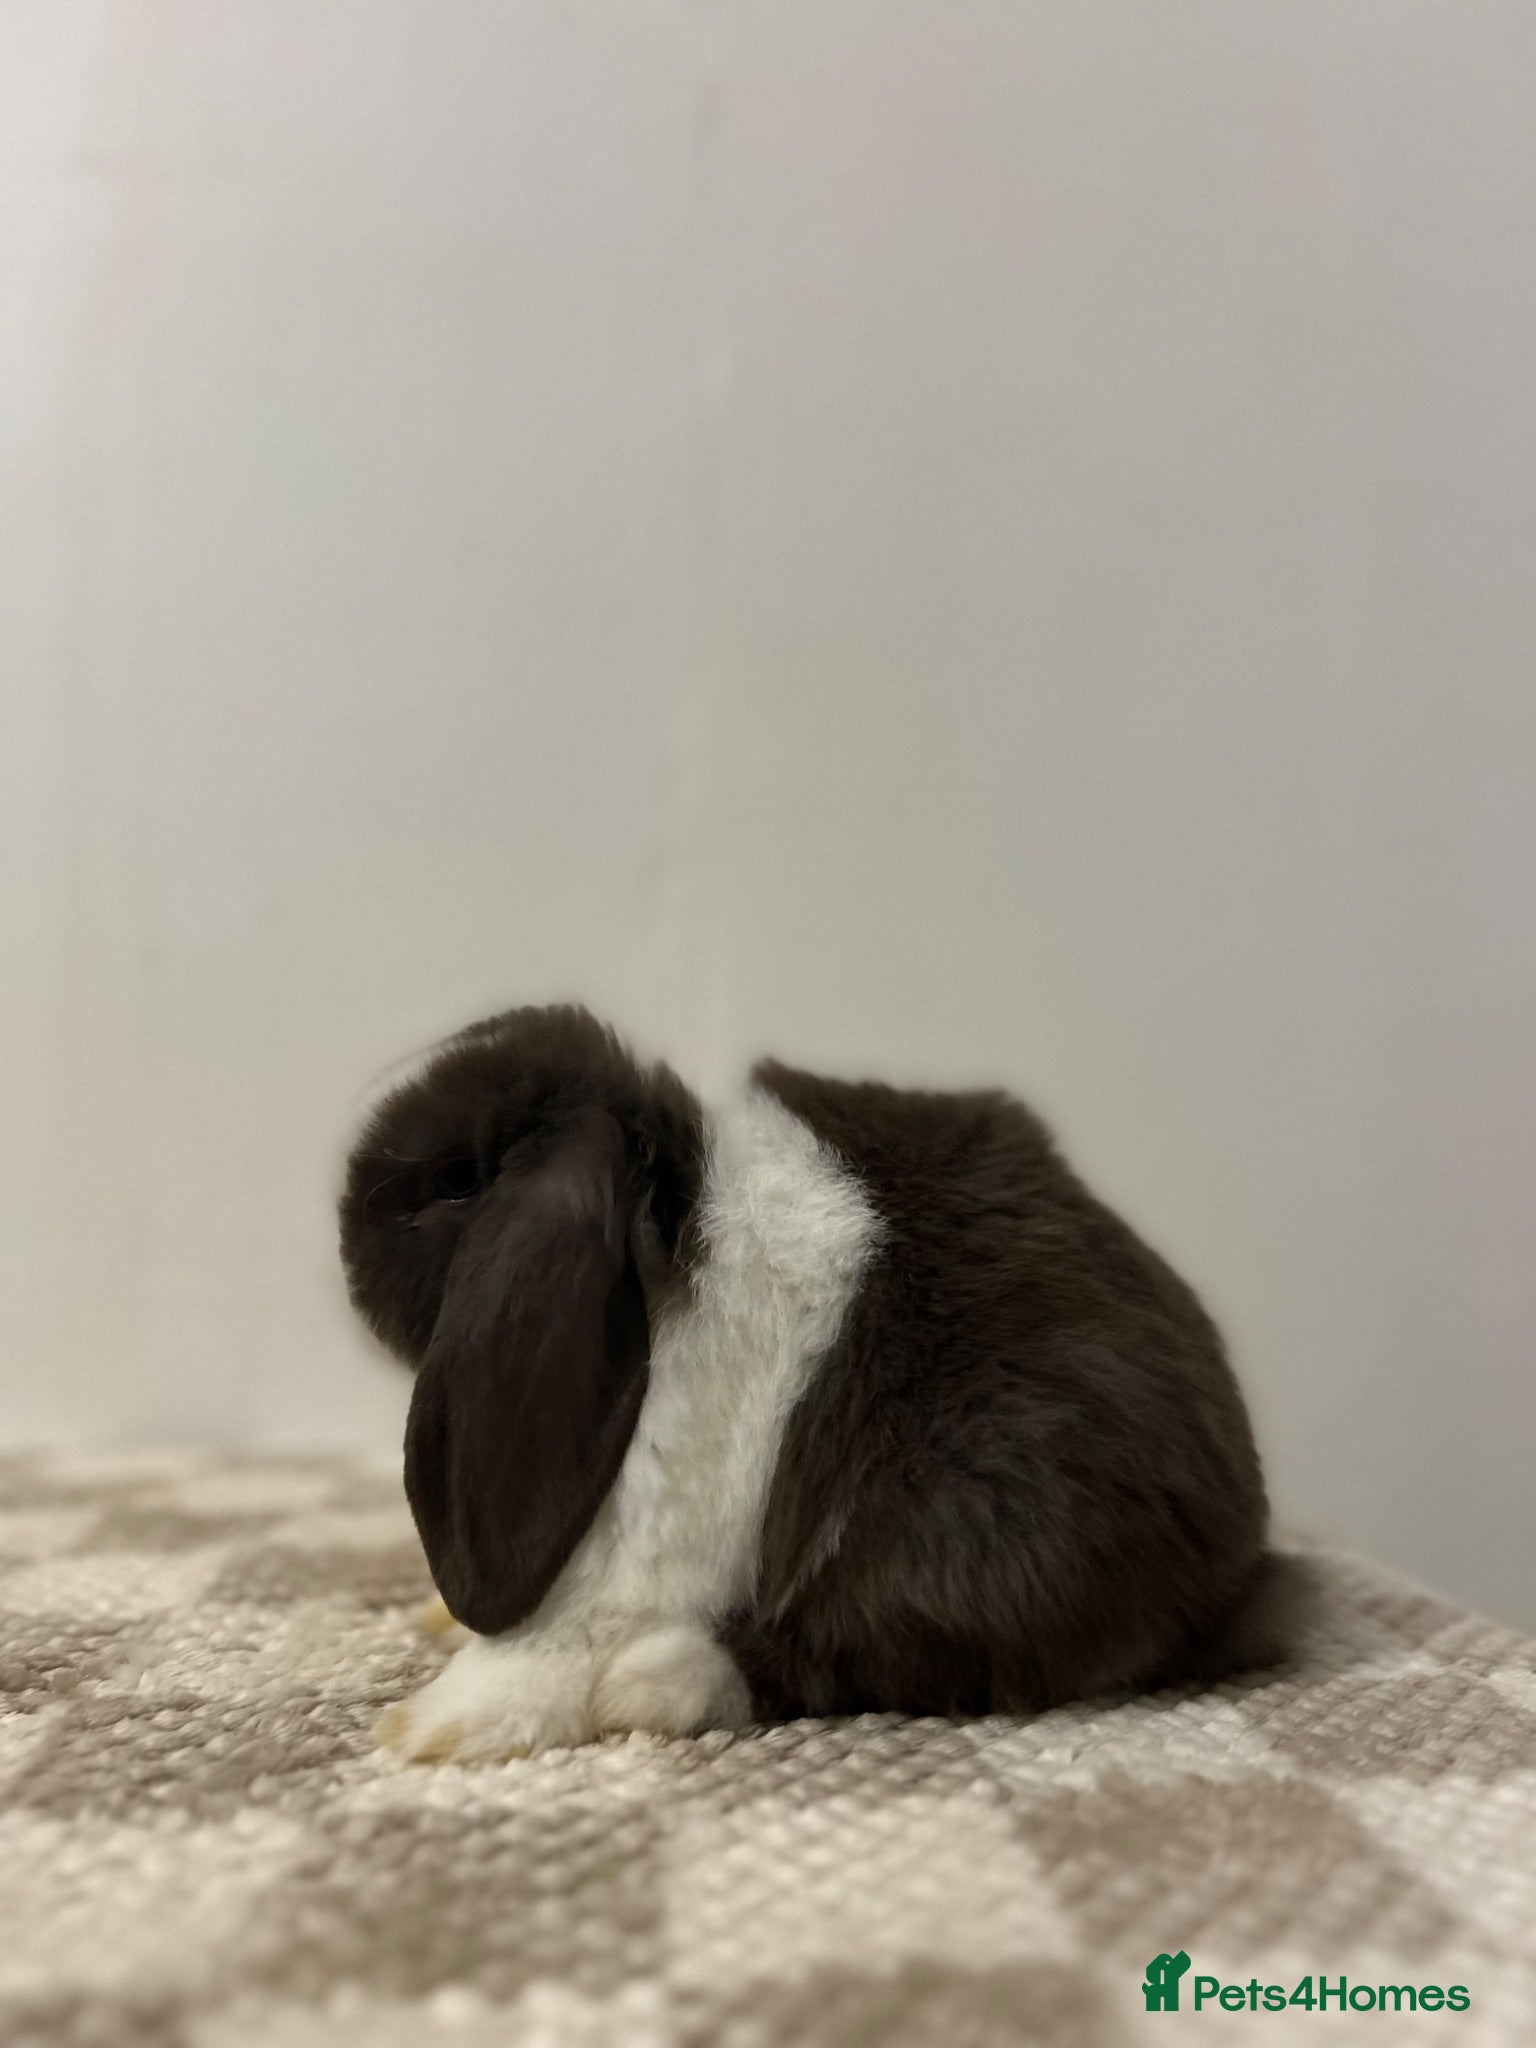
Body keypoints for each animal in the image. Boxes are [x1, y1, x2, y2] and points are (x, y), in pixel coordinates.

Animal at [339, 1003, 1291, 1763]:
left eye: (454, 1181)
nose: (347, 1248)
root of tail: (1242, 1567)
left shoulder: (641, 1546)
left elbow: (549, 1647)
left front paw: (433, 1729)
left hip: (988, 1531)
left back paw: (654, 1687)